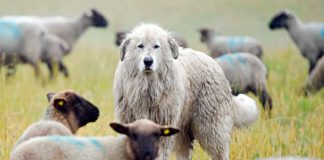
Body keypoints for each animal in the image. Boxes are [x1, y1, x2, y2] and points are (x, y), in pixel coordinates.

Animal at [112, 23, 260, 159]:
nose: (148, 61)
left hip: (212, 126)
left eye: (156, 46)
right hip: (183, 129)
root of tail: (214, 64)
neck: (147, 87)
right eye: (140, 46)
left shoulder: (163, 124)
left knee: (220, 152)